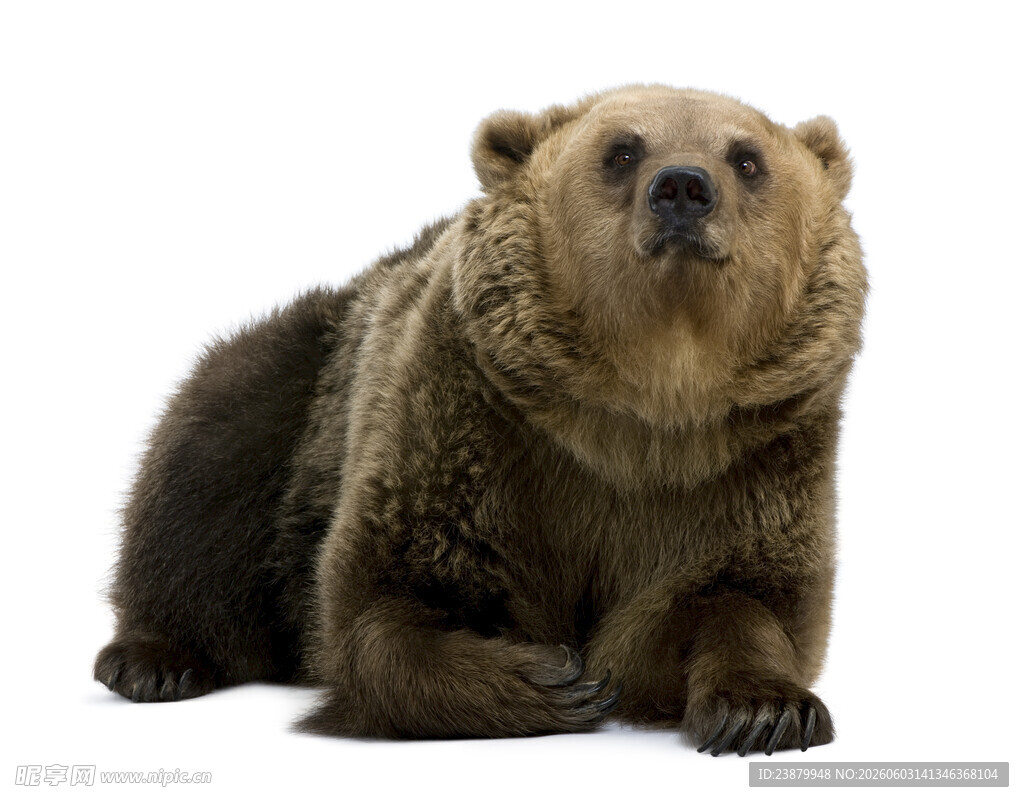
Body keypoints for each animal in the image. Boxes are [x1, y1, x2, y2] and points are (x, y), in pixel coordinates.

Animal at [94, 84, 867, 756]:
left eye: (747, 158)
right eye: (622, 150)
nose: (682, 186)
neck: (642, 408)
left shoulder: (752, 461)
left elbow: (741, 597)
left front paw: (763, 711)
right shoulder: (469, 419)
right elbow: (384, 597)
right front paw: (553, 678)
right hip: (300, 397)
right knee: (206, 460)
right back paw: (153, 660)